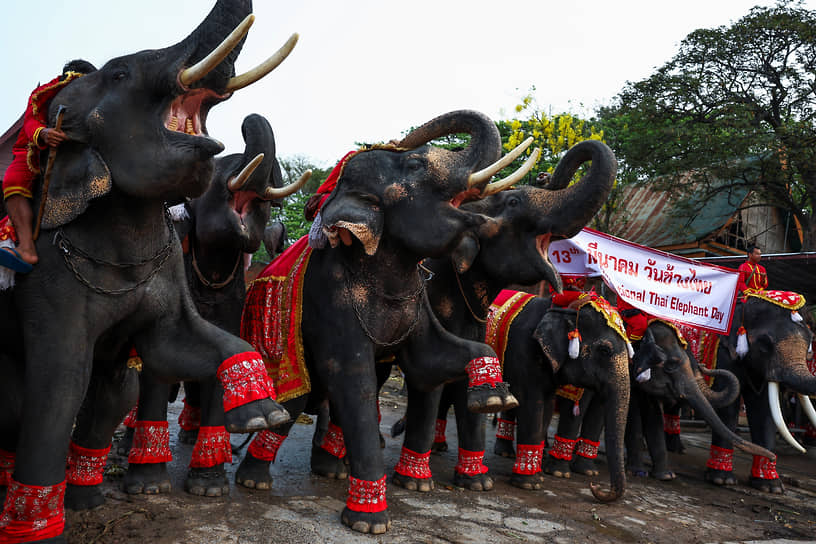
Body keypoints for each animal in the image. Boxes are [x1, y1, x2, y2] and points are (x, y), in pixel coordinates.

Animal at [0, 3, 296, 540]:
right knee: (22, 403)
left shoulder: (172, 268)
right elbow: (61, 381)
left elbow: (171, 345)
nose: (250, 121)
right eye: (119, 73)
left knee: (118, 388)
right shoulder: (49, 280)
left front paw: (262, 413)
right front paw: (35, 529)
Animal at [236, 108, 528, 532]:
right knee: (293, 403)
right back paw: (253, 483)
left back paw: (329, 472)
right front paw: (368, 521)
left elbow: (429, 361)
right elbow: (352, 378)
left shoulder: (417, 297)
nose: (393, 142)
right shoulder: (331, 298)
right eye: (415, 165)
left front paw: (493, 397)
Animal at [700, 294, 816, 492]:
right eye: (765, 344)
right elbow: (727, 405)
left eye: (810, 341)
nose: (804, 450)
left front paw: (771, 487)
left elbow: (764, 411)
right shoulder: (723, 353)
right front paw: (721, 480)